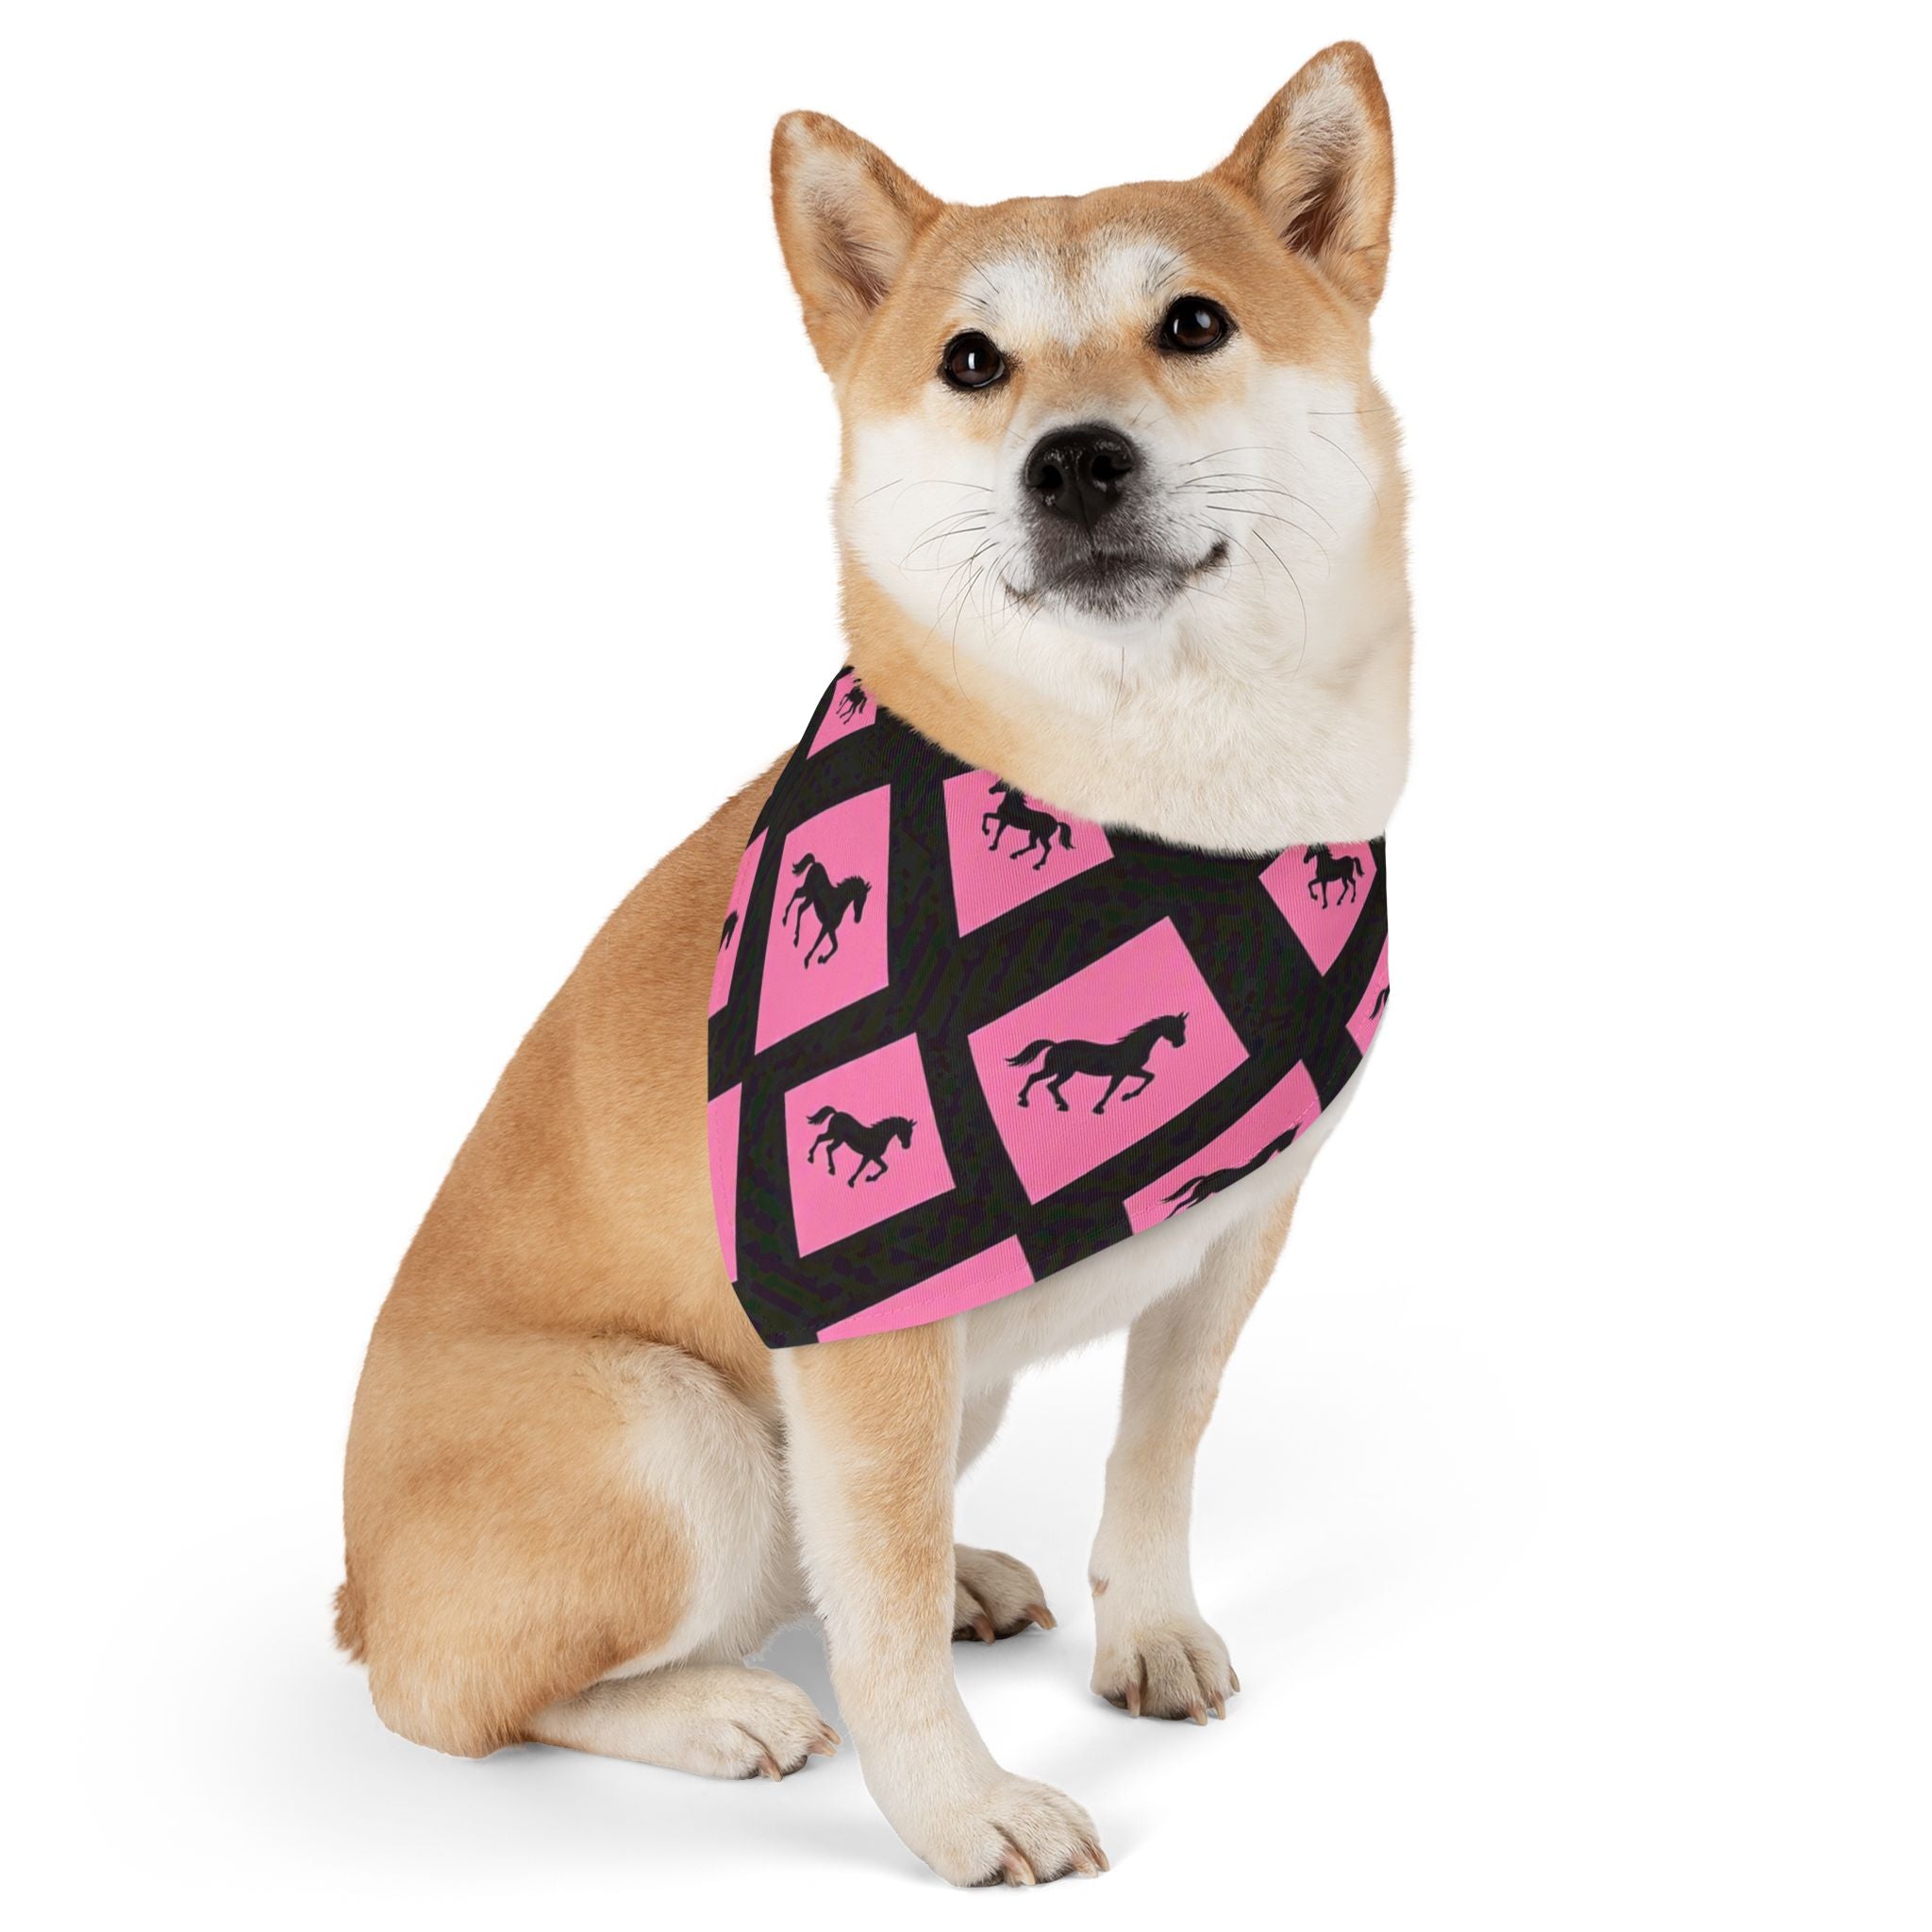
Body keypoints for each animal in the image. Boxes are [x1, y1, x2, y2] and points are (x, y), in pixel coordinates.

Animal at [1007, 1013, 1188, 1114]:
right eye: (1175, 1027)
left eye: (1183, 1027)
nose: (1181, 1044)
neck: (1132, 1046)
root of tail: (1055, 1045)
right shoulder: (1124, 1072)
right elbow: (1111, 1090)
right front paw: (1100, 1108)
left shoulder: (1132, 1071)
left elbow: (1150, 1077)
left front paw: (1126, 1096)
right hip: (1059, 1070)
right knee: (1039, 1079)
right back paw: (1026, 1101)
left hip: (1062, 1071)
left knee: (1047, 1083)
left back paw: (1057, 1104)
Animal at [1161, 1124, 1302, 1217]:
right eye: (1289, 1136)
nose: (1288, 1144)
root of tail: (1204, 1178)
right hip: (1201, 1195)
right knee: (1183, 1204)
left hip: (1198, 1195)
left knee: (1183, 1204)